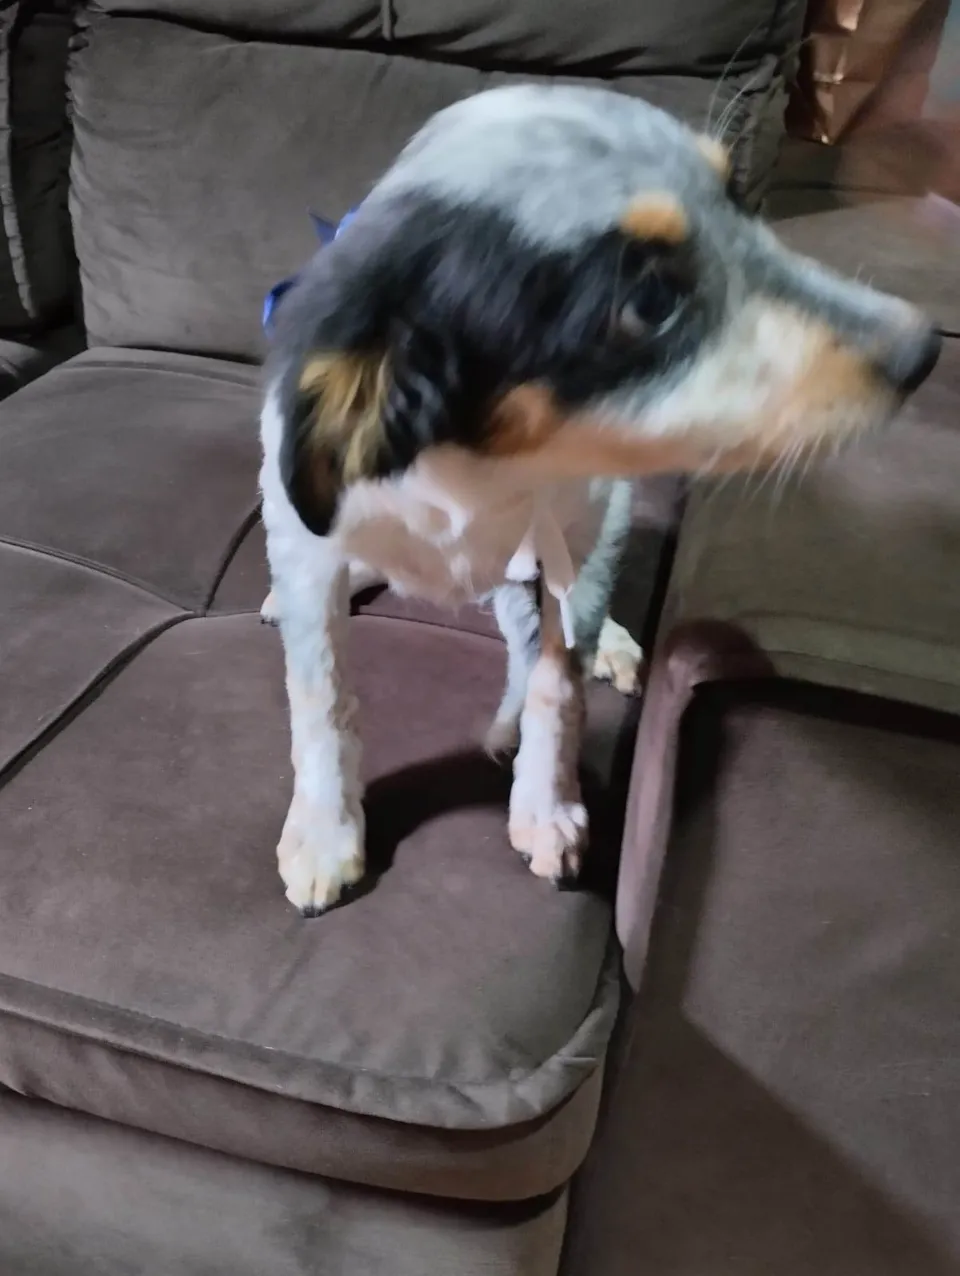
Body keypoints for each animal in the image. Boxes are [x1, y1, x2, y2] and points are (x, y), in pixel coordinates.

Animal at [259, 84, 941, 915]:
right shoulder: (303, 536)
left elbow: (558, 683)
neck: (479, 465)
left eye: (737, 201)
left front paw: (547, 807)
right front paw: (325, 833)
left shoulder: (578, 534)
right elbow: (321, 697)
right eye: (648, 300)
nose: (926, 348)